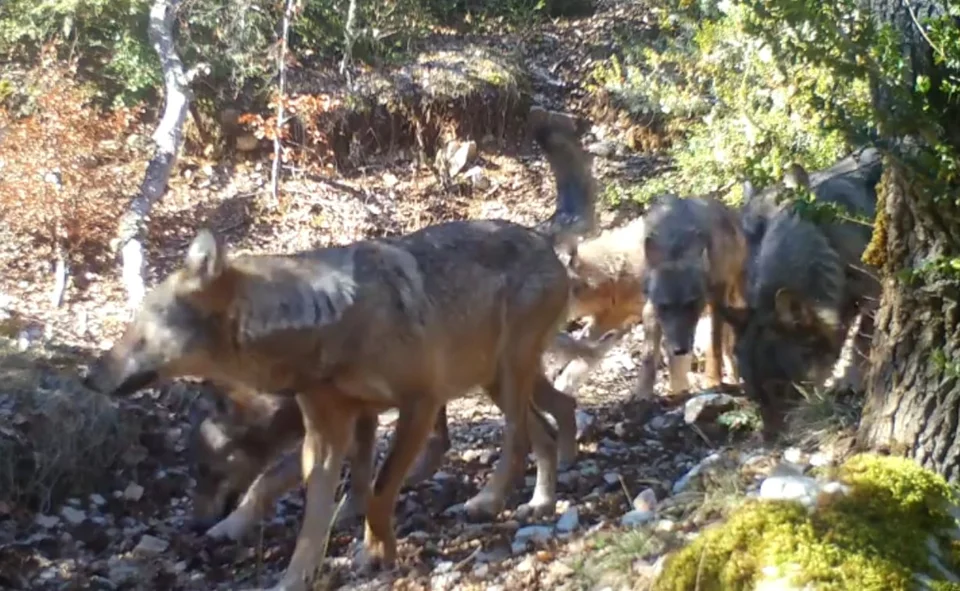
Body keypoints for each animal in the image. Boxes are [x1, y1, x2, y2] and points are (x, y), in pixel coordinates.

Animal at [83, 117, 598, 591]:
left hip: (505, 379)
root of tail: (539, 234)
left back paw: (493, 501)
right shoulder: (328, 436)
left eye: (139, 333)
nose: (88, 378)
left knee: (520, 440)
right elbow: (312, 518)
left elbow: (377, 489)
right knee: (544, 430)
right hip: (493, 379)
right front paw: (296, 578)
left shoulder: (418, 404)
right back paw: (538, 501)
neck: (326, 329)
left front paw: (375, 554)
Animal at [636, 194, 749, 398]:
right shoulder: (650, 308)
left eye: (691, 304)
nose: (680, 349)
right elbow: (649, 354)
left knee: (729, 345)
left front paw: (712, 381)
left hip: (735, 300)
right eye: (664, 306)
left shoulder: (716, 300)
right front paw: (643, 392)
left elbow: (714, 345)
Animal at [724, 148, 883, 438]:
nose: (769, 441)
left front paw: (855, 381)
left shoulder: (873, 295)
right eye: (753, 394)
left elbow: (861, 340)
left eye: (781, 389)